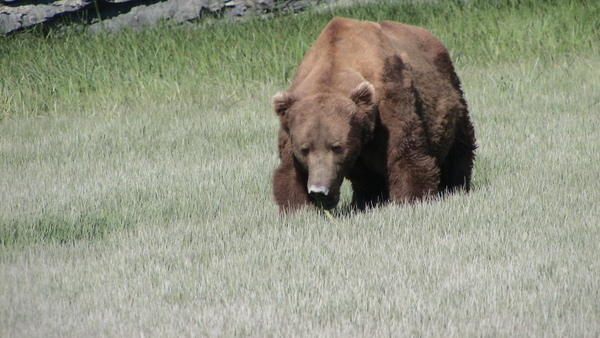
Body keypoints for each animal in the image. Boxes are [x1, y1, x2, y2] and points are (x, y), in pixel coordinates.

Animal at [270, 17, 474, 213]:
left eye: (337, 147)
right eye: (305, 149)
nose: (319, 191)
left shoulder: (389, 99)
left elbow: (404, 153)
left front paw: (410, 198)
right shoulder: (290, 121)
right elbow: (290, 171)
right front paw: (296, 208)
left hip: (450, 89)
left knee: (459, 144)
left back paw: (455, 185)